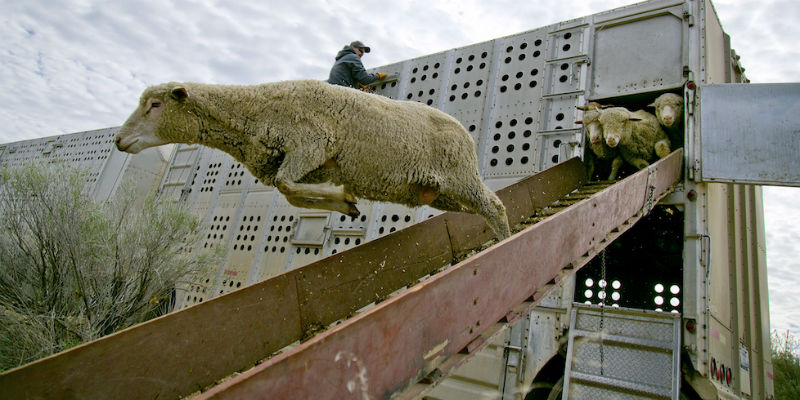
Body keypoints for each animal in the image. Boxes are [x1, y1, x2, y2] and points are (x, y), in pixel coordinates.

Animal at [113, 79, 512, 239]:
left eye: (155, 105)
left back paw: (504, 243)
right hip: (442, 193)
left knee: (495, 206)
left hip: (461, 178)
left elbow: (286, 186)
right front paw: (345, 202)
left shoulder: (312, 144)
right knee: (482, 208)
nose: (118, 140)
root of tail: (464, 131)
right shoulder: (306, 162)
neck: (254, 111)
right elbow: (289, 192)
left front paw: (345, 200)